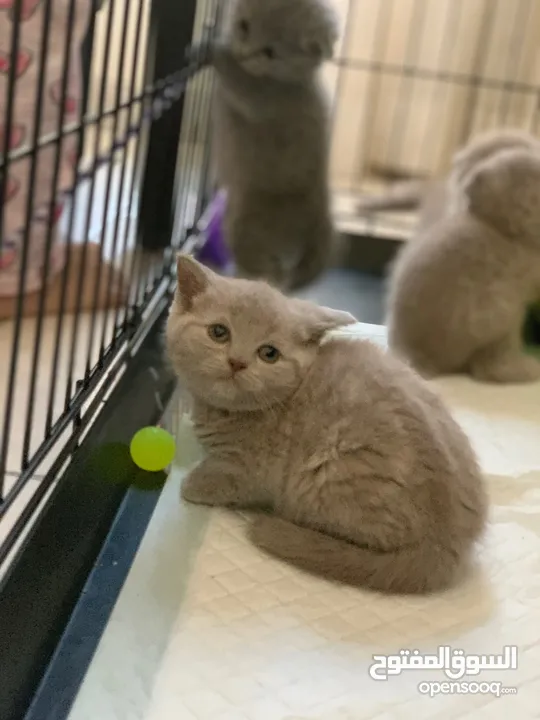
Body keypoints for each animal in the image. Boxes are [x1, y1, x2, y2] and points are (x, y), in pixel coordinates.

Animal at [167, 256, 488, 592]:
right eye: (219, 332)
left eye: (269, 353)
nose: (237, 362)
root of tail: (449, 549)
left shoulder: (253, 470)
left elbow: (228, 479)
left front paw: (196, 483)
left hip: (331, 474)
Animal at [193, 0, 338, 292]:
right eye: (244, 25)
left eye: (270, 52)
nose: (243, 54)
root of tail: (323, 218)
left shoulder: (265, 98)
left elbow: (241, 83)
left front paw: (213, 49)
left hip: (242, 229)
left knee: (273, 274)